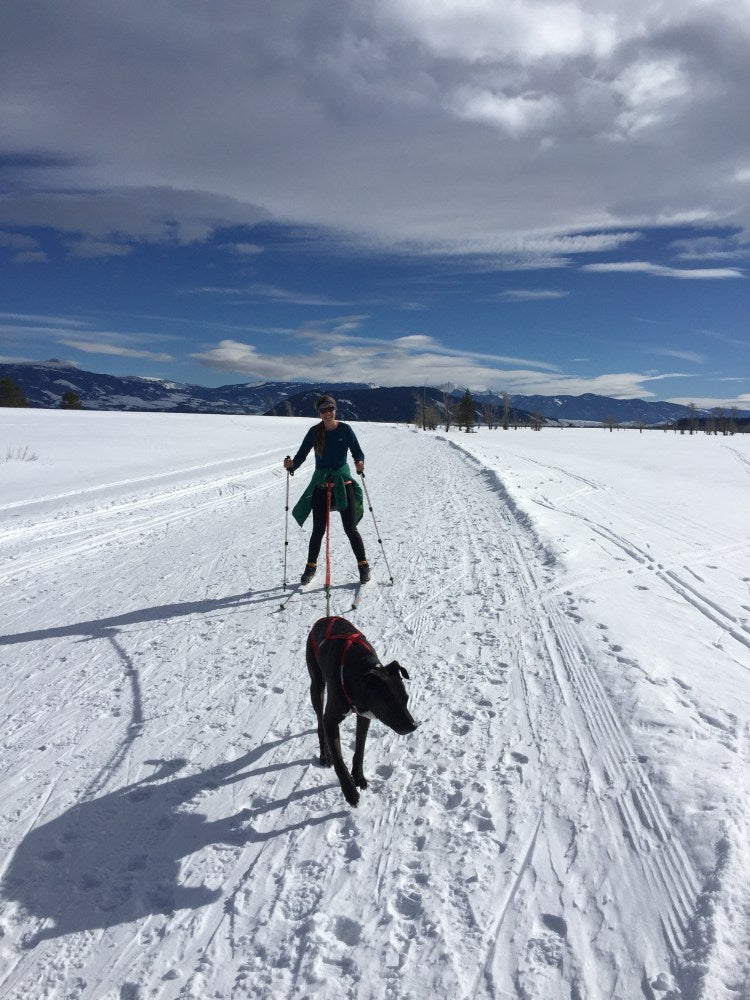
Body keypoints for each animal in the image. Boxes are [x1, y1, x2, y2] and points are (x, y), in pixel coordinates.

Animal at [308, 612, 420, 808]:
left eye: (406, 699)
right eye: (388, 703)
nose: (413, 726)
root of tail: (326, 618)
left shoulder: (365, 715)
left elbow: (360, 748)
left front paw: (358, 776)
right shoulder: (331, 720)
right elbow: (339, 760)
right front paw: (349, 791)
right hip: (316, 685)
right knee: (319, 721)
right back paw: (324, 755)